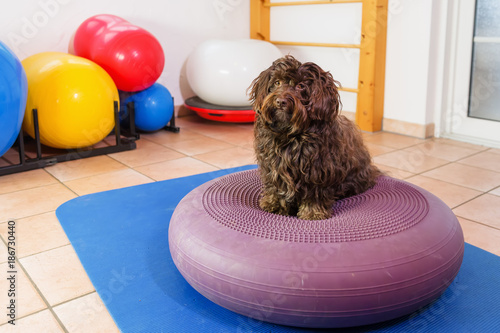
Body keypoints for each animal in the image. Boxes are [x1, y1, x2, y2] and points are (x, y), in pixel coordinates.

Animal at [248, 55, 380, 219]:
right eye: (277, 82)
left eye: (300, 86)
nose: (280, 101)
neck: (290, 134)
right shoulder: (272, 165)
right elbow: (275, 185)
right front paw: (275, 204)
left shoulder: (317, 169)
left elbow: (314, 193)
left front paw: (312, 212)